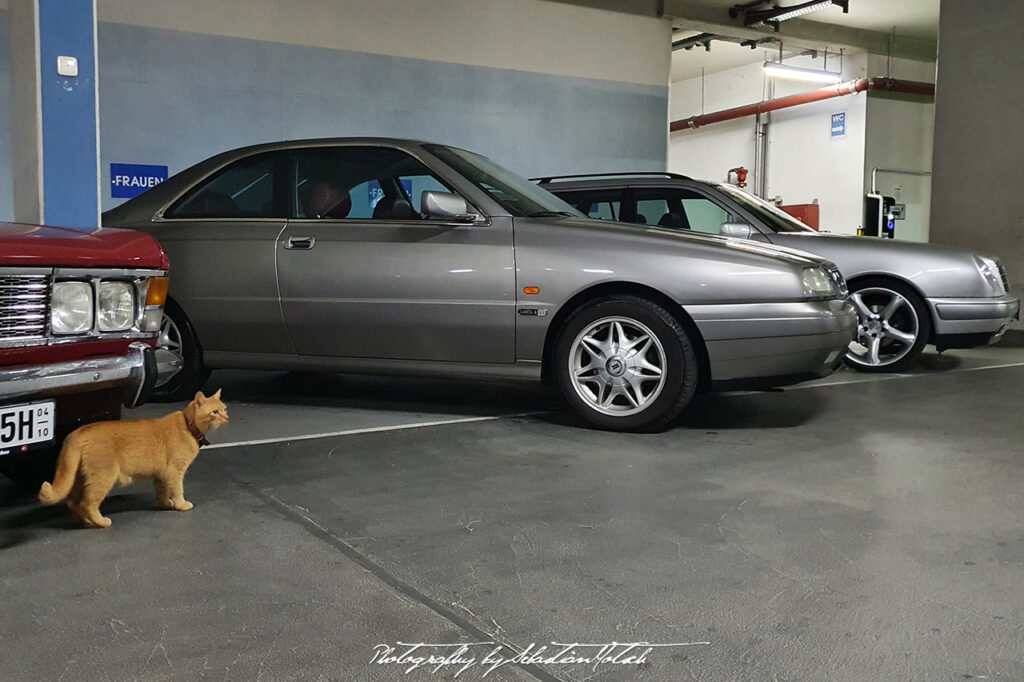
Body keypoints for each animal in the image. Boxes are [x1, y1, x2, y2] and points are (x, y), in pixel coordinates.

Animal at [38, 387, 229, 524]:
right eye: (215, 412)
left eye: (225, 409)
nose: (227, 418)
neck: (188, 427)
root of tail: (77, 433)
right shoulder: (174, 472)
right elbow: (177, 490)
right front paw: (181, 505)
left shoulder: (160, 476)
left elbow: (162, 492)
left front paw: (165, 505)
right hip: (103, 477)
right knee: (87, 503)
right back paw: (101, 522)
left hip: (79, 478)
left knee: (73, 502)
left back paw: (86, 522)